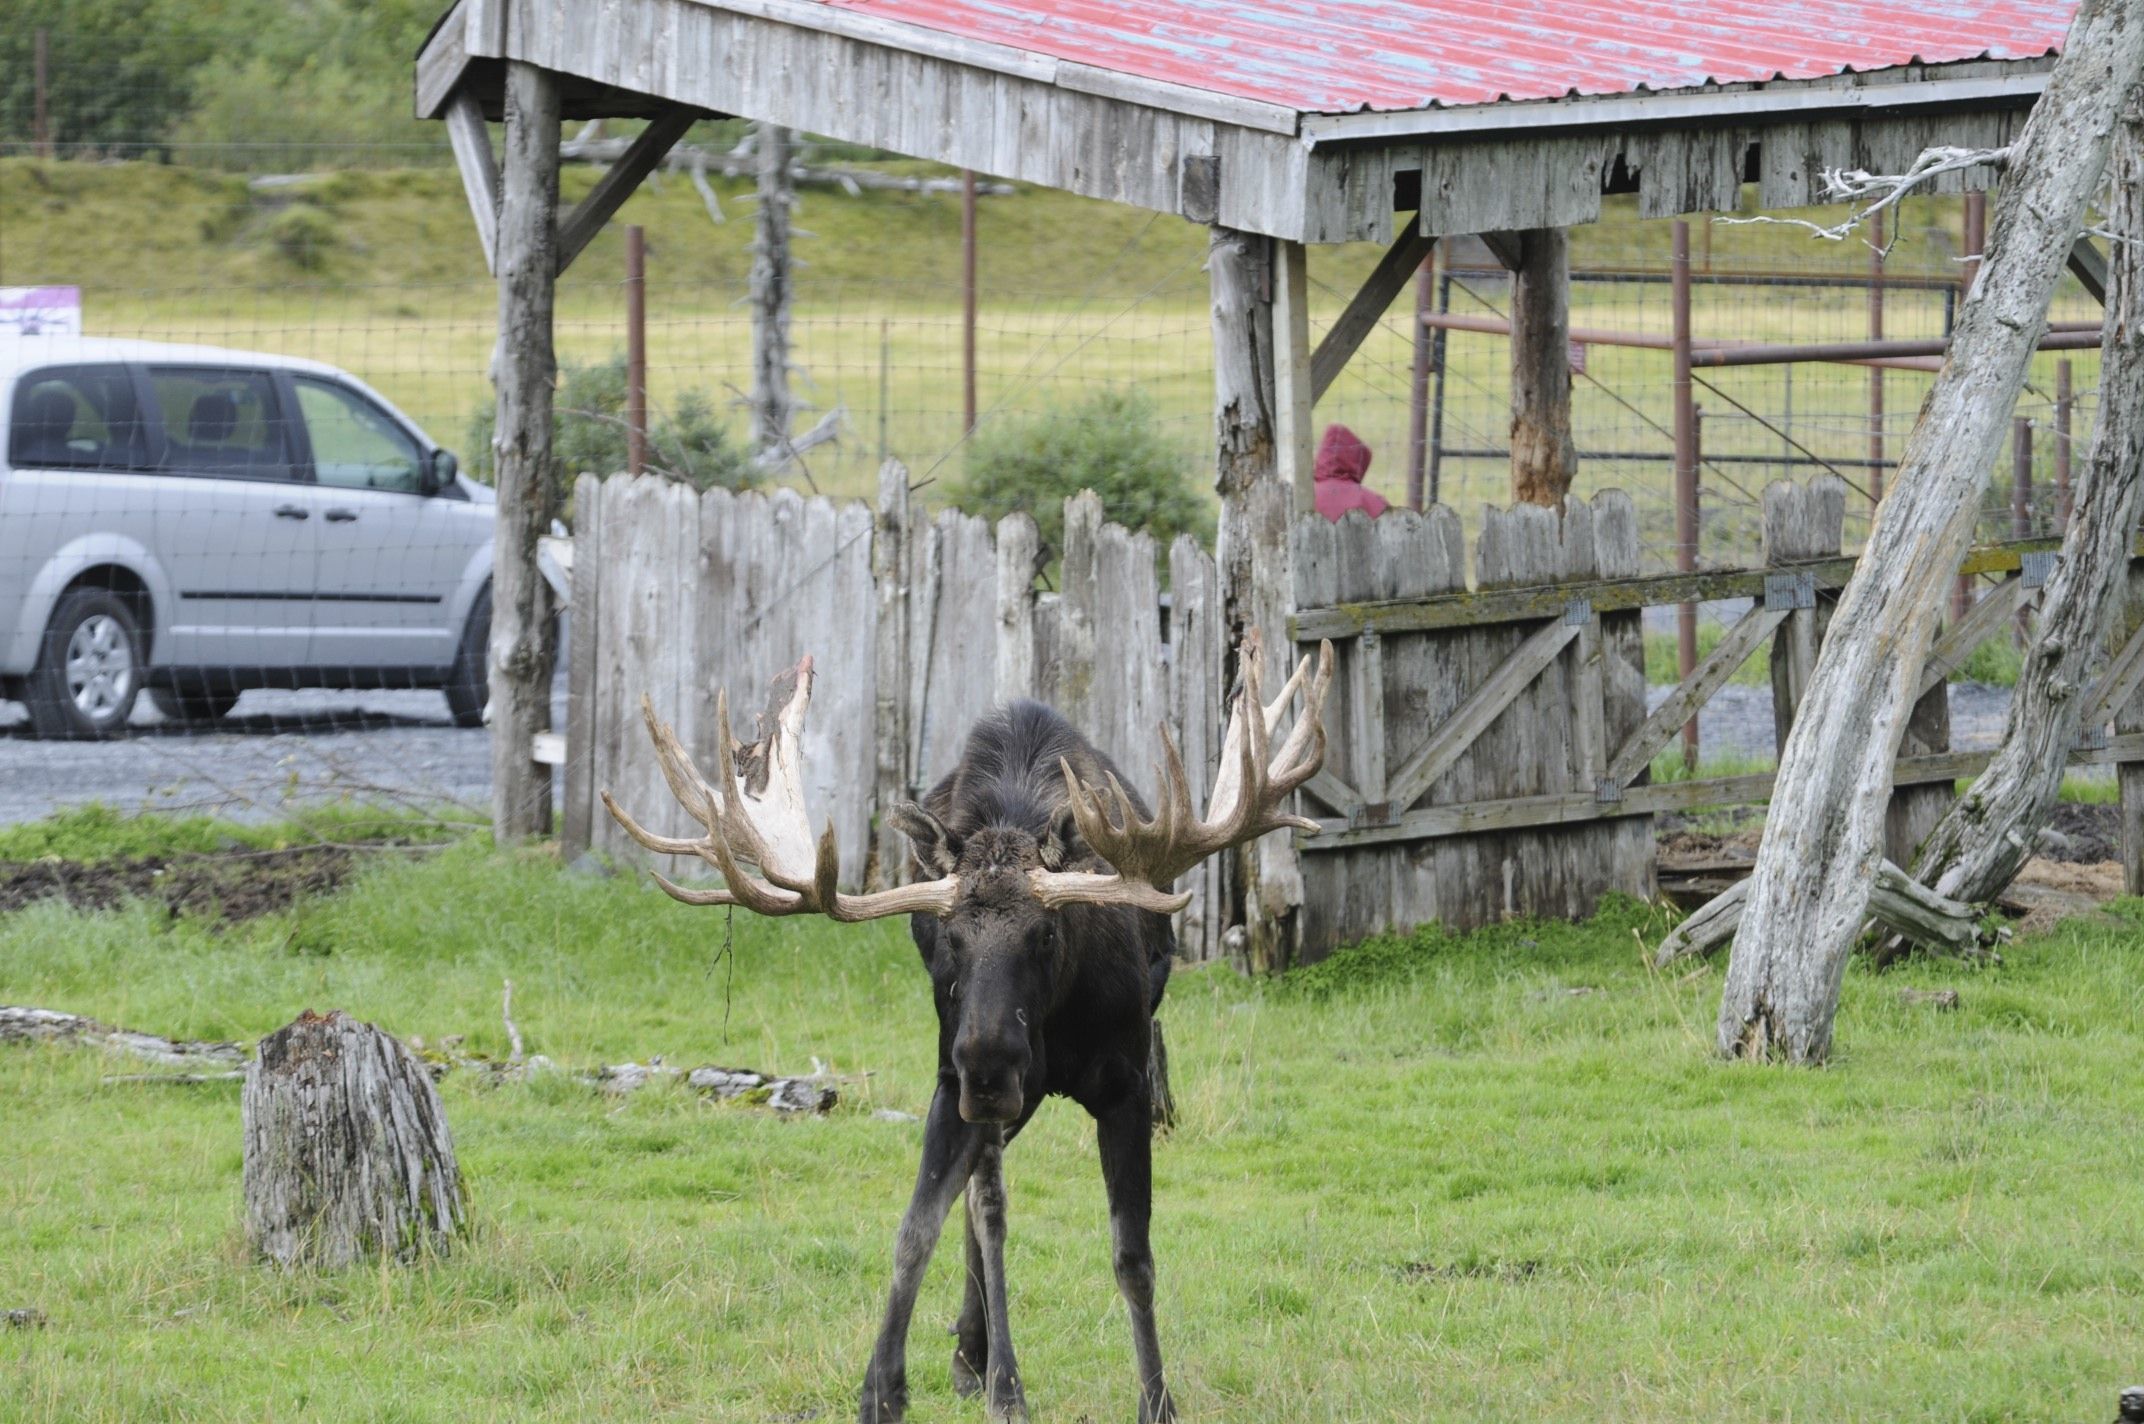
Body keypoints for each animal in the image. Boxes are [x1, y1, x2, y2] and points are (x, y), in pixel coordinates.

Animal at [604, 634, 1329, 1423]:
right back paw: (986, 1365)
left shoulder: (1129, 1082)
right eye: (947, 937)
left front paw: (1156, 1402)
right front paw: (884, 1387)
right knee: (984, 1208)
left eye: (1046, 932)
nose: (989, 1060)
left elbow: (1132, 1256)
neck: (1056, 1024)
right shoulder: (950, 1081)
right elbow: (921, 1224)